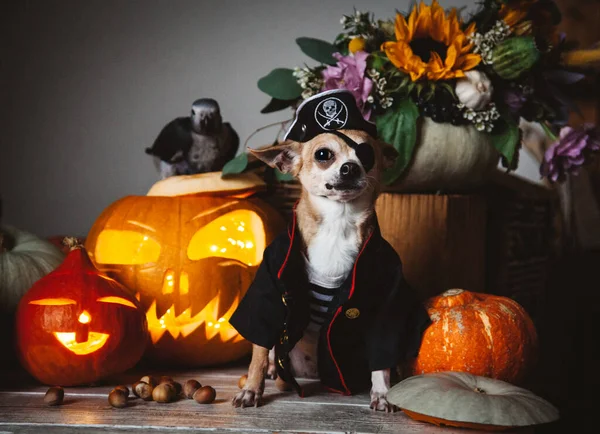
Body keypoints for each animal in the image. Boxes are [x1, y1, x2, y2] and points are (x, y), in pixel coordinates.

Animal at [227, 90, 428, 410]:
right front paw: (252, 388)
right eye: (323, 155)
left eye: (367, 154)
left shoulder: (387, 296)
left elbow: (382, 353)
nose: (350, 167)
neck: (337, 223)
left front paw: (383, 391)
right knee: (270, 350)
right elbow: (258, 347)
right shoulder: (270, 288)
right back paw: (272, 369)